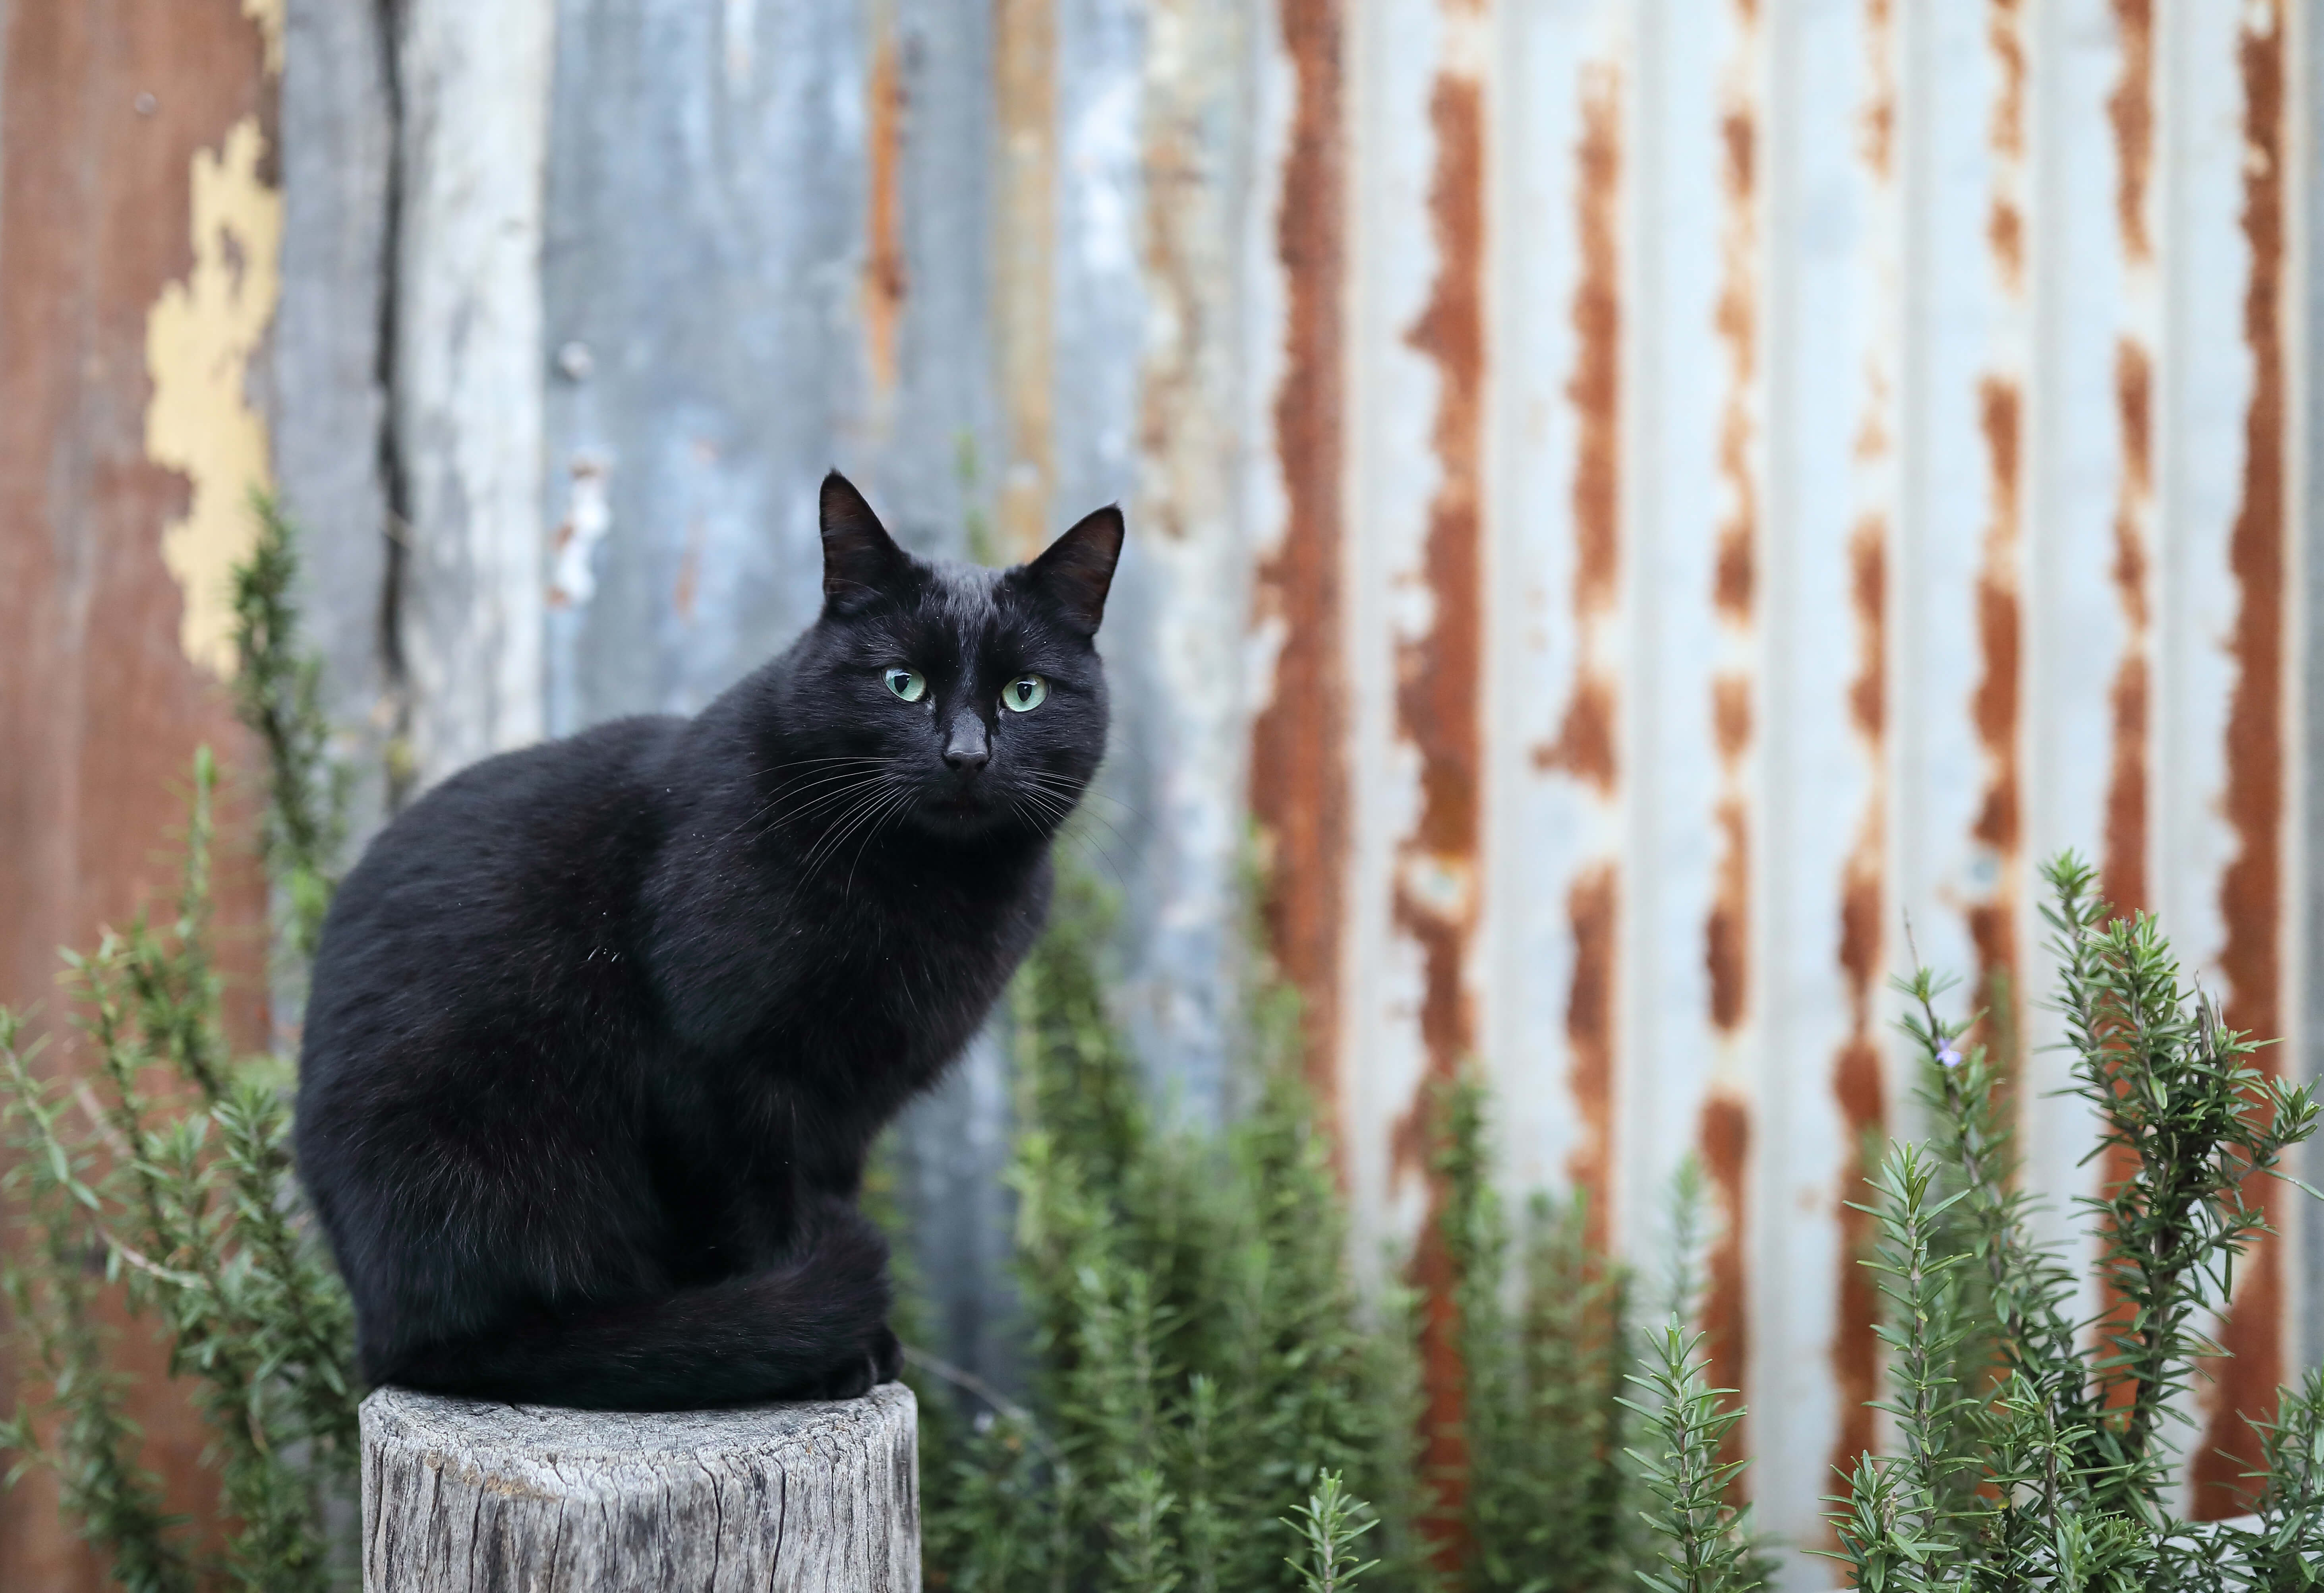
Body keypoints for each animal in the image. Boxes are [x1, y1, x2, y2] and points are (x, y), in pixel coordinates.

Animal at [295, 470, 1120, 1404]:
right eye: (901, 682)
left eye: (1027, 693)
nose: (967, 755)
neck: (925, 889)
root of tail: (376, 1322)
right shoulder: (717, 1069)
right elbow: (761, 1214)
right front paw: (827, 1351)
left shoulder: (849, 1105)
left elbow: (814, 1193)